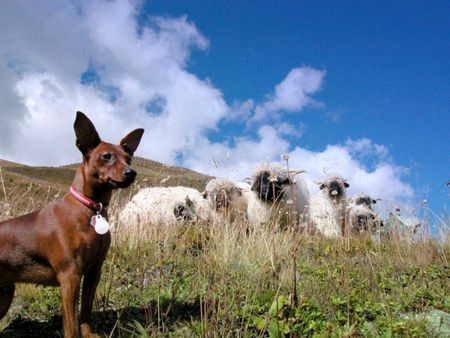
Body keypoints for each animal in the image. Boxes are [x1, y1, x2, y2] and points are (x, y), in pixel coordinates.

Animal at [0, 111, 143, 336]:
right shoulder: (70, 276)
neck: (90, 209)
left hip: (4, 293)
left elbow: (85, 312)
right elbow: (71, 325)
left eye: (129, 159)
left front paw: (89, 334)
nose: (131, 173)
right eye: (107, 156)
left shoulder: (93, 272)